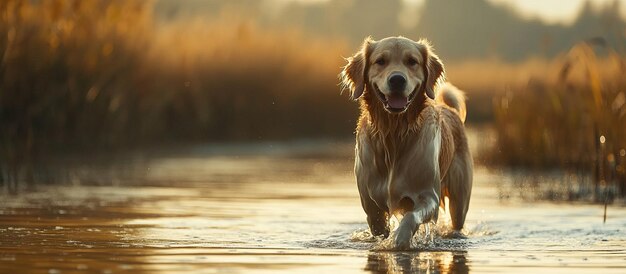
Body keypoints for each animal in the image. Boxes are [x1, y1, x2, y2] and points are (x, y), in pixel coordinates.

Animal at [338, 35, 470, 248]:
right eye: (380, 61)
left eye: (412, 61)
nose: (397, 79)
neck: (394, 133)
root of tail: (449, 109)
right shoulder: (368, 196)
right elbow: (376, 222)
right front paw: (385, 237)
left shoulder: (428, 197)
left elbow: (410, 217)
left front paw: (400, 239)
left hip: (460, 198)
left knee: (456, 221)